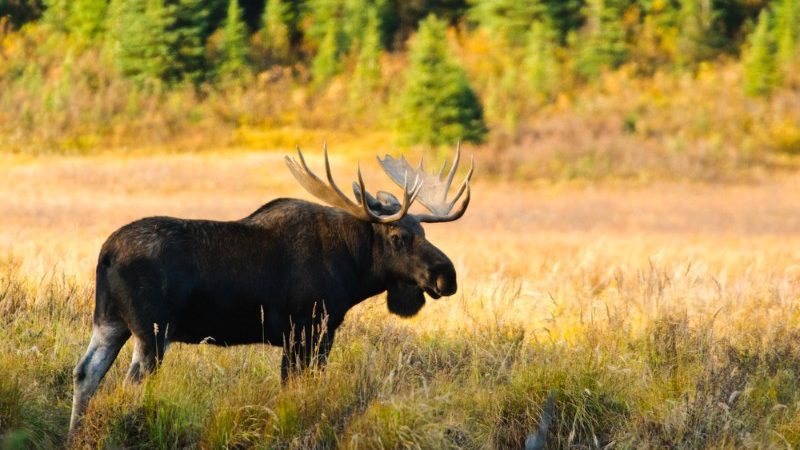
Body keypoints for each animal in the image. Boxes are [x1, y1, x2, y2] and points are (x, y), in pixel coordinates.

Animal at [70, 146, 476, 434]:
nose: (447, 275)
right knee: (130, 382)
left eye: (423, 231)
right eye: (398, 237)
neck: (354, 267)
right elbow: (296, 387)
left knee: (85, 373)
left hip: (110, 321)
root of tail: (106, 254)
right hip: (153, 331)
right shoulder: (309, 328)